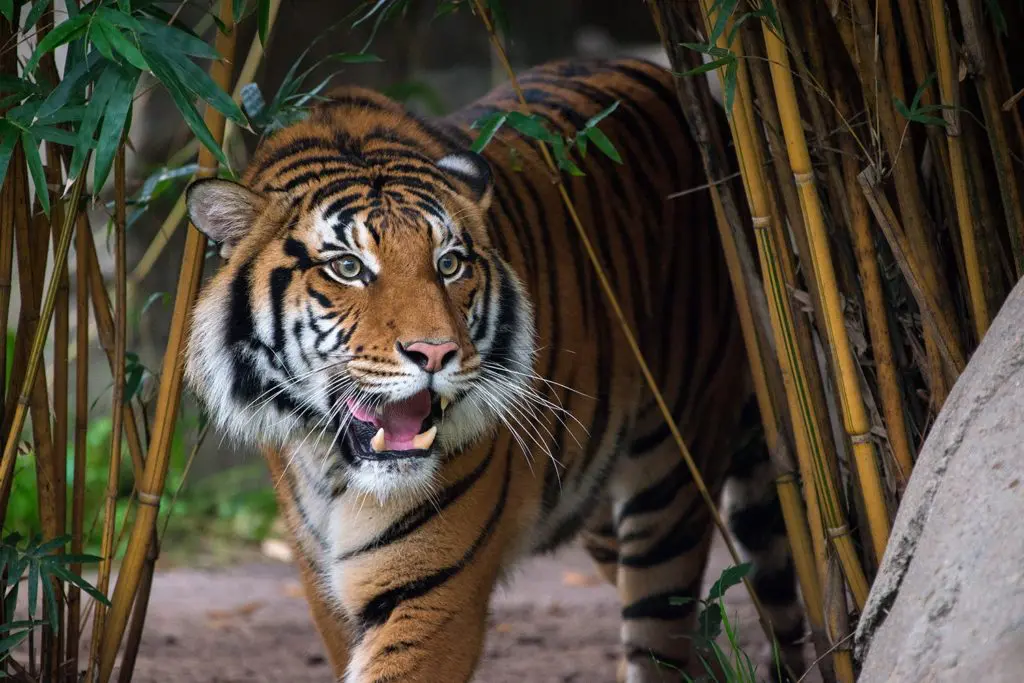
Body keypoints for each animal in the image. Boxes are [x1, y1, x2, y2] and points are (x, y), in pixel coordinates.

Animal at [183, 56, 805, 683]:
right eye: (348, 268)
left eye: (449, 263)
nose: (435, 354)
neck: (335, 467)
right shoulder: (324, 588)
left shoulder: (431, 586)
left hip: (672, 480)